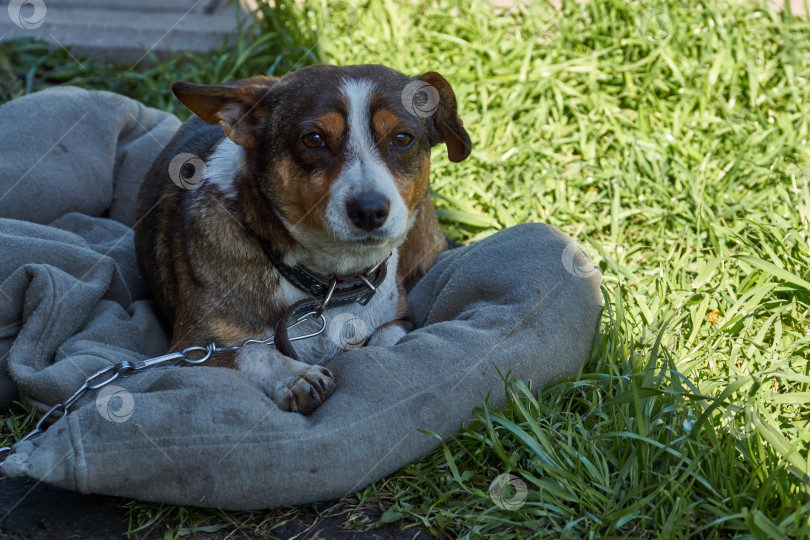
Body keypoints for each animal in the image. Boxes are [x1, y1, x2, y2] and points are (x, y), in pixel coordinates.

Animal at [135, 65, 470, 416]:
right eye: (313, 139)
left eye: (403, 138)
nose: (369, 210)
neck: (328, 287)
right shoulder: (192, 351)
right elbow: (252, 351)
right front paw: (295, 376)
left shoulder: (400, 320)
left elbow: (382, 340)